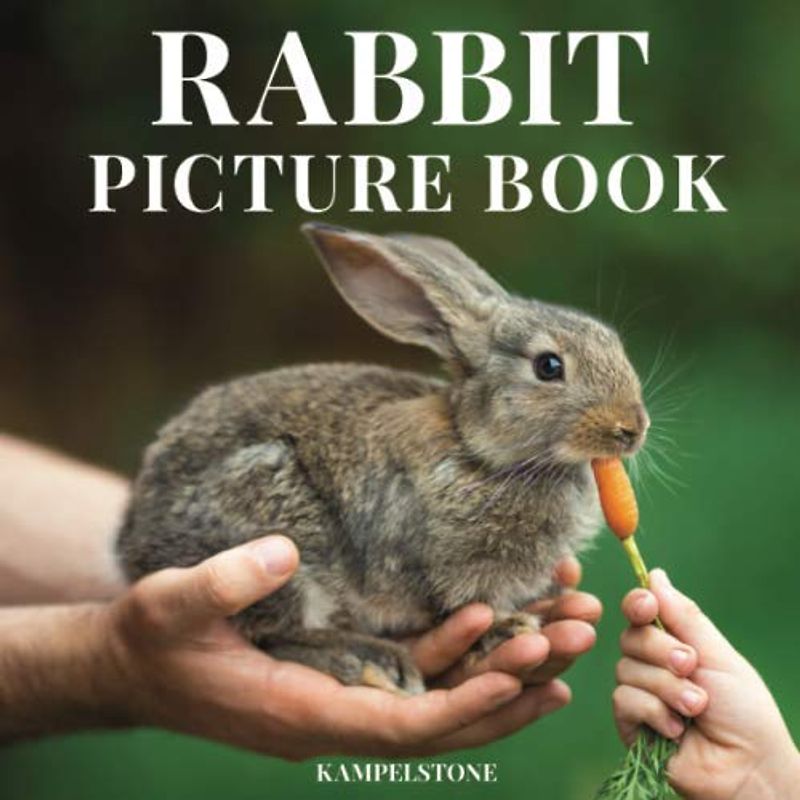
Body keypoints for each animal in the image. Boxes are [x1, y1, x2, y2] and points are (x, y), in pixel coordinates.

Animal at [117, 223, 649, 695]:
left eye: (613, 344)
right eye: (548, 366)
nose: (632, 428)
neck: (479, 450)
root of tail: (134, 551)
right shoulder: (451, 565)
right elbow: (465, 605)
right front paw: (506, 629)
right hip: (280, 536)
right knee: (276, 632)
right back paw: (368, 660)